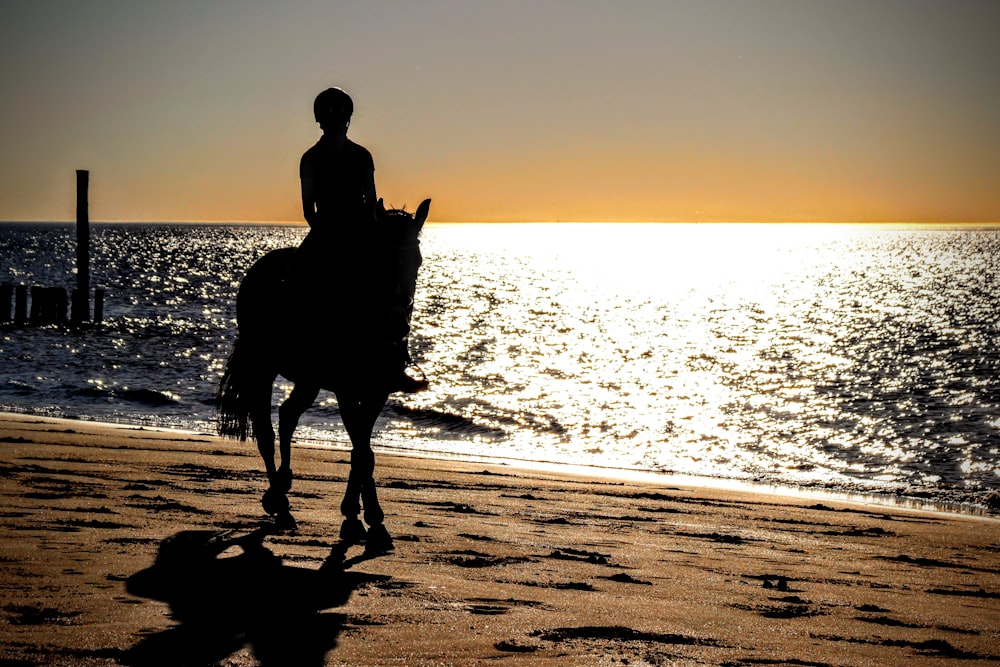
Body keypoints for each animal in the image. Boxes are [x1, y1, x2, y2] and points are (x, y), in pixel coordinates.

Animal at [219, 198, 430, 552]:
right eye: (381, 258)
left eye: (417, 260)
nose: (397, 324)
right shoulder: (346, 390)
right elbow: (362, 452)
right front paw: (363, 519)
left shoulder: (377, 390)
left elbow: (362, 452)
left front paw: (363, 520)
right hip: (263, 367)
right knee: (265, 433)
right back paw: (280, 505)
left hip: (309, 379)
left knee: (288, 415)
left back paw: (282, 488)